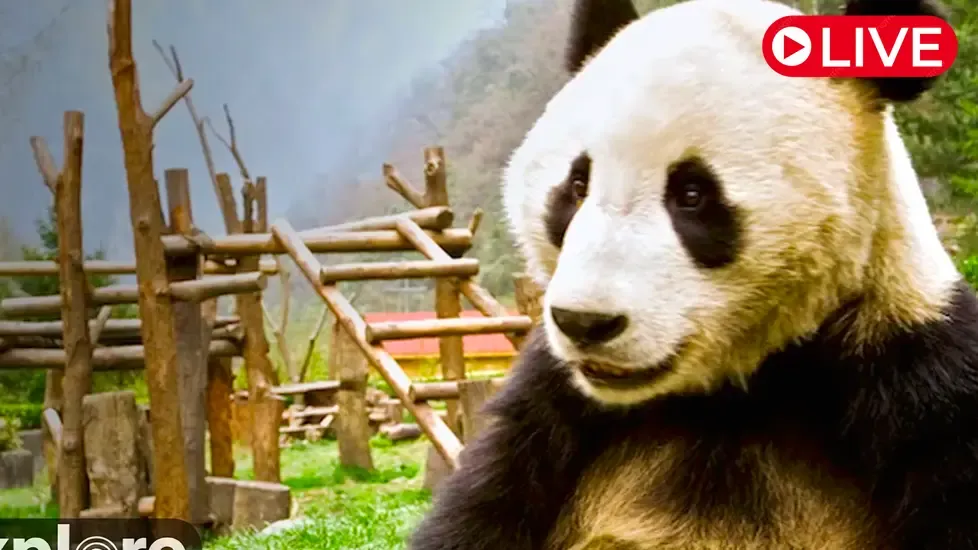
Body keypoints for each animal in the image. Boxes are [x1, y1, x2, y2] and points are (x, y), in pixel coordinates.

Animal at [410, 0, 978, 548]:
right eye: (575, 186)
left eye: (692, 195)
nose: (585, 323)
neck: (732, 392)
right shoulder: (550, 408)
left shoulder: (913, 376)